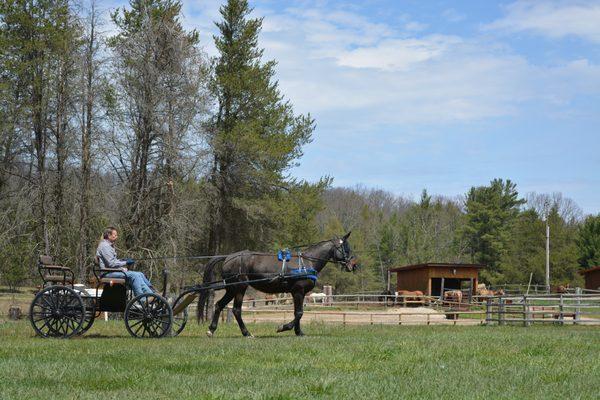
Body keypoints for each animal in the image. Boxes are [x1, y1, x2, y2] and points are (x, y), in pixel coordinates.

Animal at [198, 233, 356, 336]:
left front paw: (299, 332)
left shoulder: (298, 293)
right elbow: (299, 313)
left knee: (219, 305)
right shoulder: (298, 291)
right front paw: (283, 327)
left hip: (231, 289)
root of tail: (229, 257)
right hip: (240, 288)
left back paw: (211, 330)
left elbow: (297, 312)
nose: (353, 265)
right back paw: (246, 333)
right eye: (346, 248)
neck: (306, 262)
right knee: (236, 310)